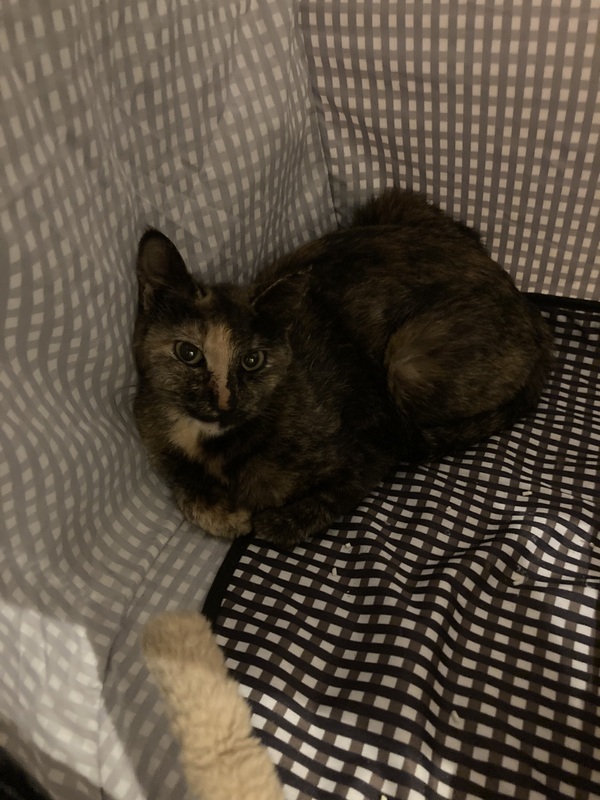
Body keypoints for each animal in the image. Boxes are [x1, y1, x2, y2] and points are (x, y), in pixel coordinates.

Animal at [133, 188, 553, 547]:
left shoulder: (369, 452)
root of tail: (534, 317)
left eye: (252, 361)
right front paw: (223, 514)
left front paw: (274, 521)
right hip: (393, 203)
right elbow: (185, 488)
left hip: (406, 366)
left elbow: (326, 497)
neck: (210, 443)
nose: (224, 402)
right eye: (188, 353)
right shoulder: (154, 435)